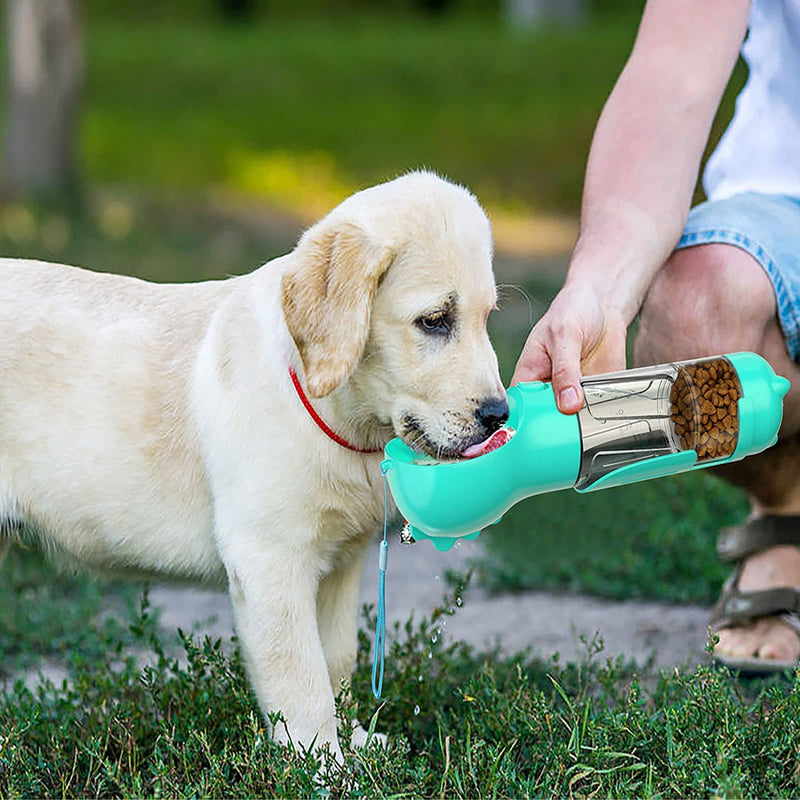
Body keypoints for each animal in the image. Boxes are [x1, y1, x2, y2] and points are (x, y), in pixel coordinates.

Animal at [0, 172, 506, 760]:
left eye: (486, 319)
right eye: (434, 321)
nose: (500, 415)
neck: (335, 412)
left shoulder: (340, 565)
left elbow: (336, 661)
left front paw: (355, 742)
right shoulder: (269, 558)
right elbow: (302, 677)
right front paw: (322, 764)